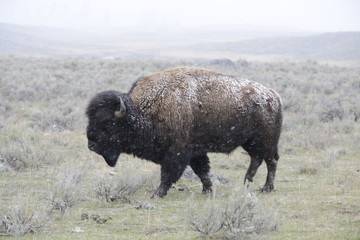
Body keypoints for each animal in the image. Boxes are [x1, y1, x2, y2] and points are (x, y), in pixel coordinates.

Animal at [86, 66, 282, 198]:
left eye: (108, 122)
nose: (91, 145)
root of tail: (273, 96)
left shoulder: (177, 152)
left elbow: (168, 174)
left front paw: (157, 194)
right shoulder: (196, 152)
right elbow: (202, 171)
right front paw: (207, 190)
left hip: (265, 141)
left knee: (270, 161)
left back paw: (266, 188)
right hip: (250, 142)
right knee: (257, 159)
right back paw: (246, 183)